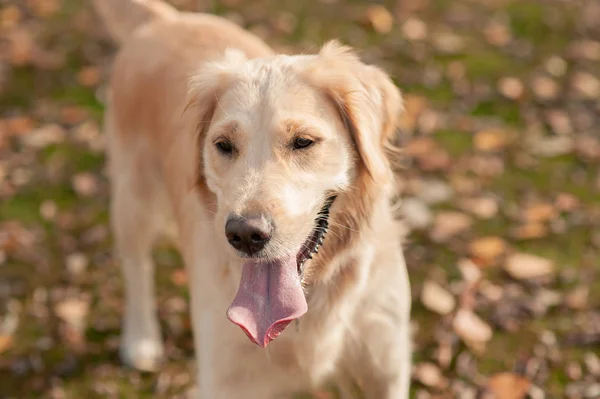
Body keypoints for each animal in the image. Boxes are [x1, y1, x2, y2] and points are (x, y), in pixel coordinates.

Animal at [94, 1, 412, 398]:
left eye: (303, 141)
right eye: (224, 145)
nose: (245, 234)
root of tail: (166, 20)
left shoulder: (385, 370)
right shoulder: (225, 380)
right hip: (134, 196)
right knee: (137, 265)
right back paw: (140, 338)